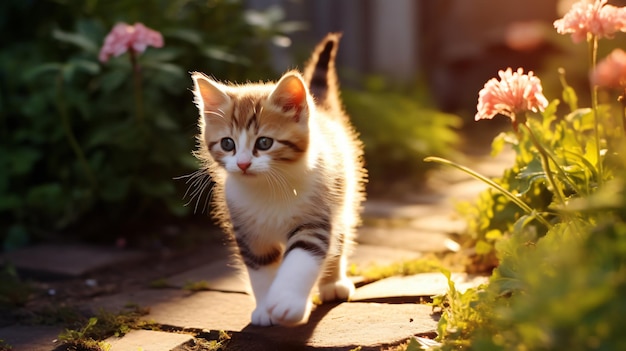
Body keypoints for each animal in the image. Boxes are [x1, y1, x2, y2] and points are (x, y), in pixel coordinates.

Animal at [190, 33, 366, 328]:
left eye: (264, 142)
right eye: (227, 144)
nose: (243, 163)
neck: (268, 188)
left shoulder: (315, 217)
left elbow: (301, 258)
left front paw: (286, 304)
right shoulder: (248, 231)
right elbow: (261, 270)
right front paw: (264, 309)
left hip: (342, 193)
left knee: (340, 236)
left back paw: (333, 284)